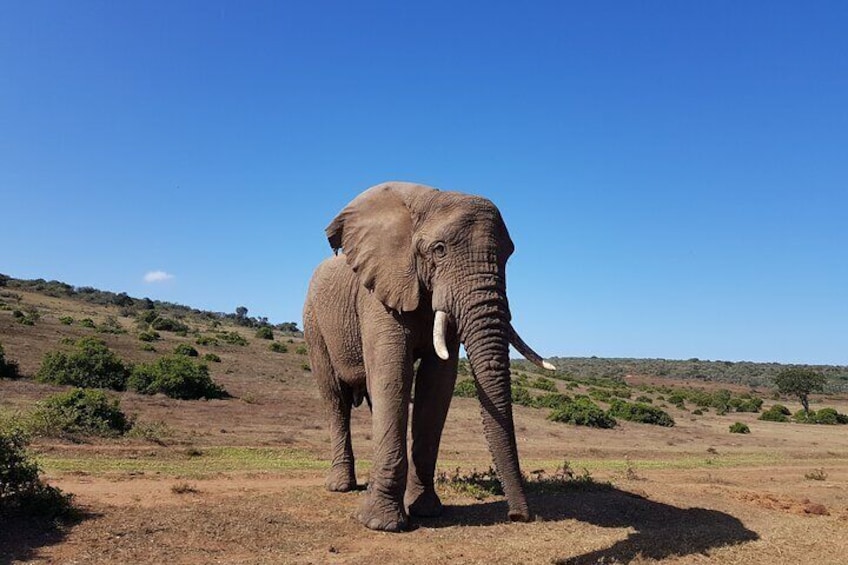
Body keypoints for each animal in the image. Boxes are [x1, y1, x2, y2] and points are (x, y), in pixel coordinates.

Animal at [302, 180, 552, 528]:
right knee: (335, 399)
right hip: (314, 323)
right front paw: (382, 525)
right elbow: (394, 375)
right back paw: (341, 487)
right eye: (439, 250)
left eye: (507, 256)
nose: (518, 516)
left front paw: (426, 510)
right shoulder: (379, 293)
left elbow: (437, 385)